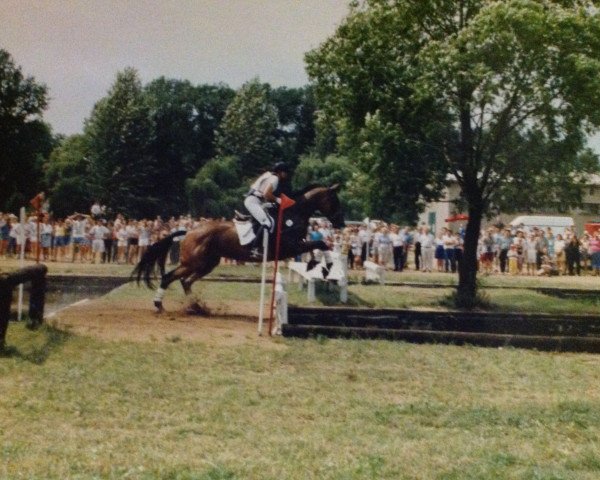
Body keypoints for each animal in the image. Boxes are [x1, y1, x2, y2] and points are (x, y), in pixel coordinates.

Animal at [133, 183, 344, 312]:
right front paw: (325, 267)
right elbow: (319, 243)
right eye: (335, 201)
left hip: (207, 264)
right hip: (193, 263)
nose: (341, 223)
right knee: (170, 277)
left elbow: (318, 245)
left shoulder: (297, 245)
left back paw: (195, 306)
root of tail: (189, 232)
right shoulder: (290, 247)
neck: (292, 214)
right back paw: (159, 305)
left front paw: (317, 265)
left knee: (186, 281)